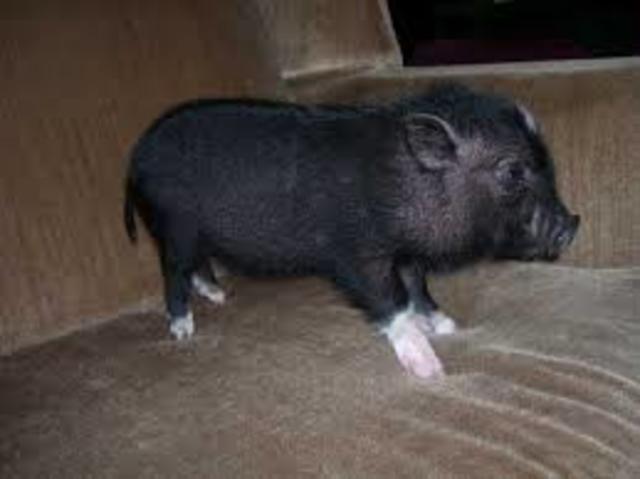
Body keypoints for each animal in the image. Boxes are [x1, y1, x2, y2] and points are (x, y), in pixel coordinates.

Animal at [124, 83, 579, 379]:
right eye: (512, 172)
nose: (573, 224)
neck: (405, 183)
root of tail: (136, 157)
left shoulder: (406, 253)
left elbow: (418, 288)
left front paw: (448, 325)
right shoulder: (355, 256)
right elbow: (390, 302)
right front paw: (431, 369)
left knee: (198, 266)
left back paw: (219, 296)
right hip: (175, 227)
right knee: (172, 270)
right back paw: (183, 332)